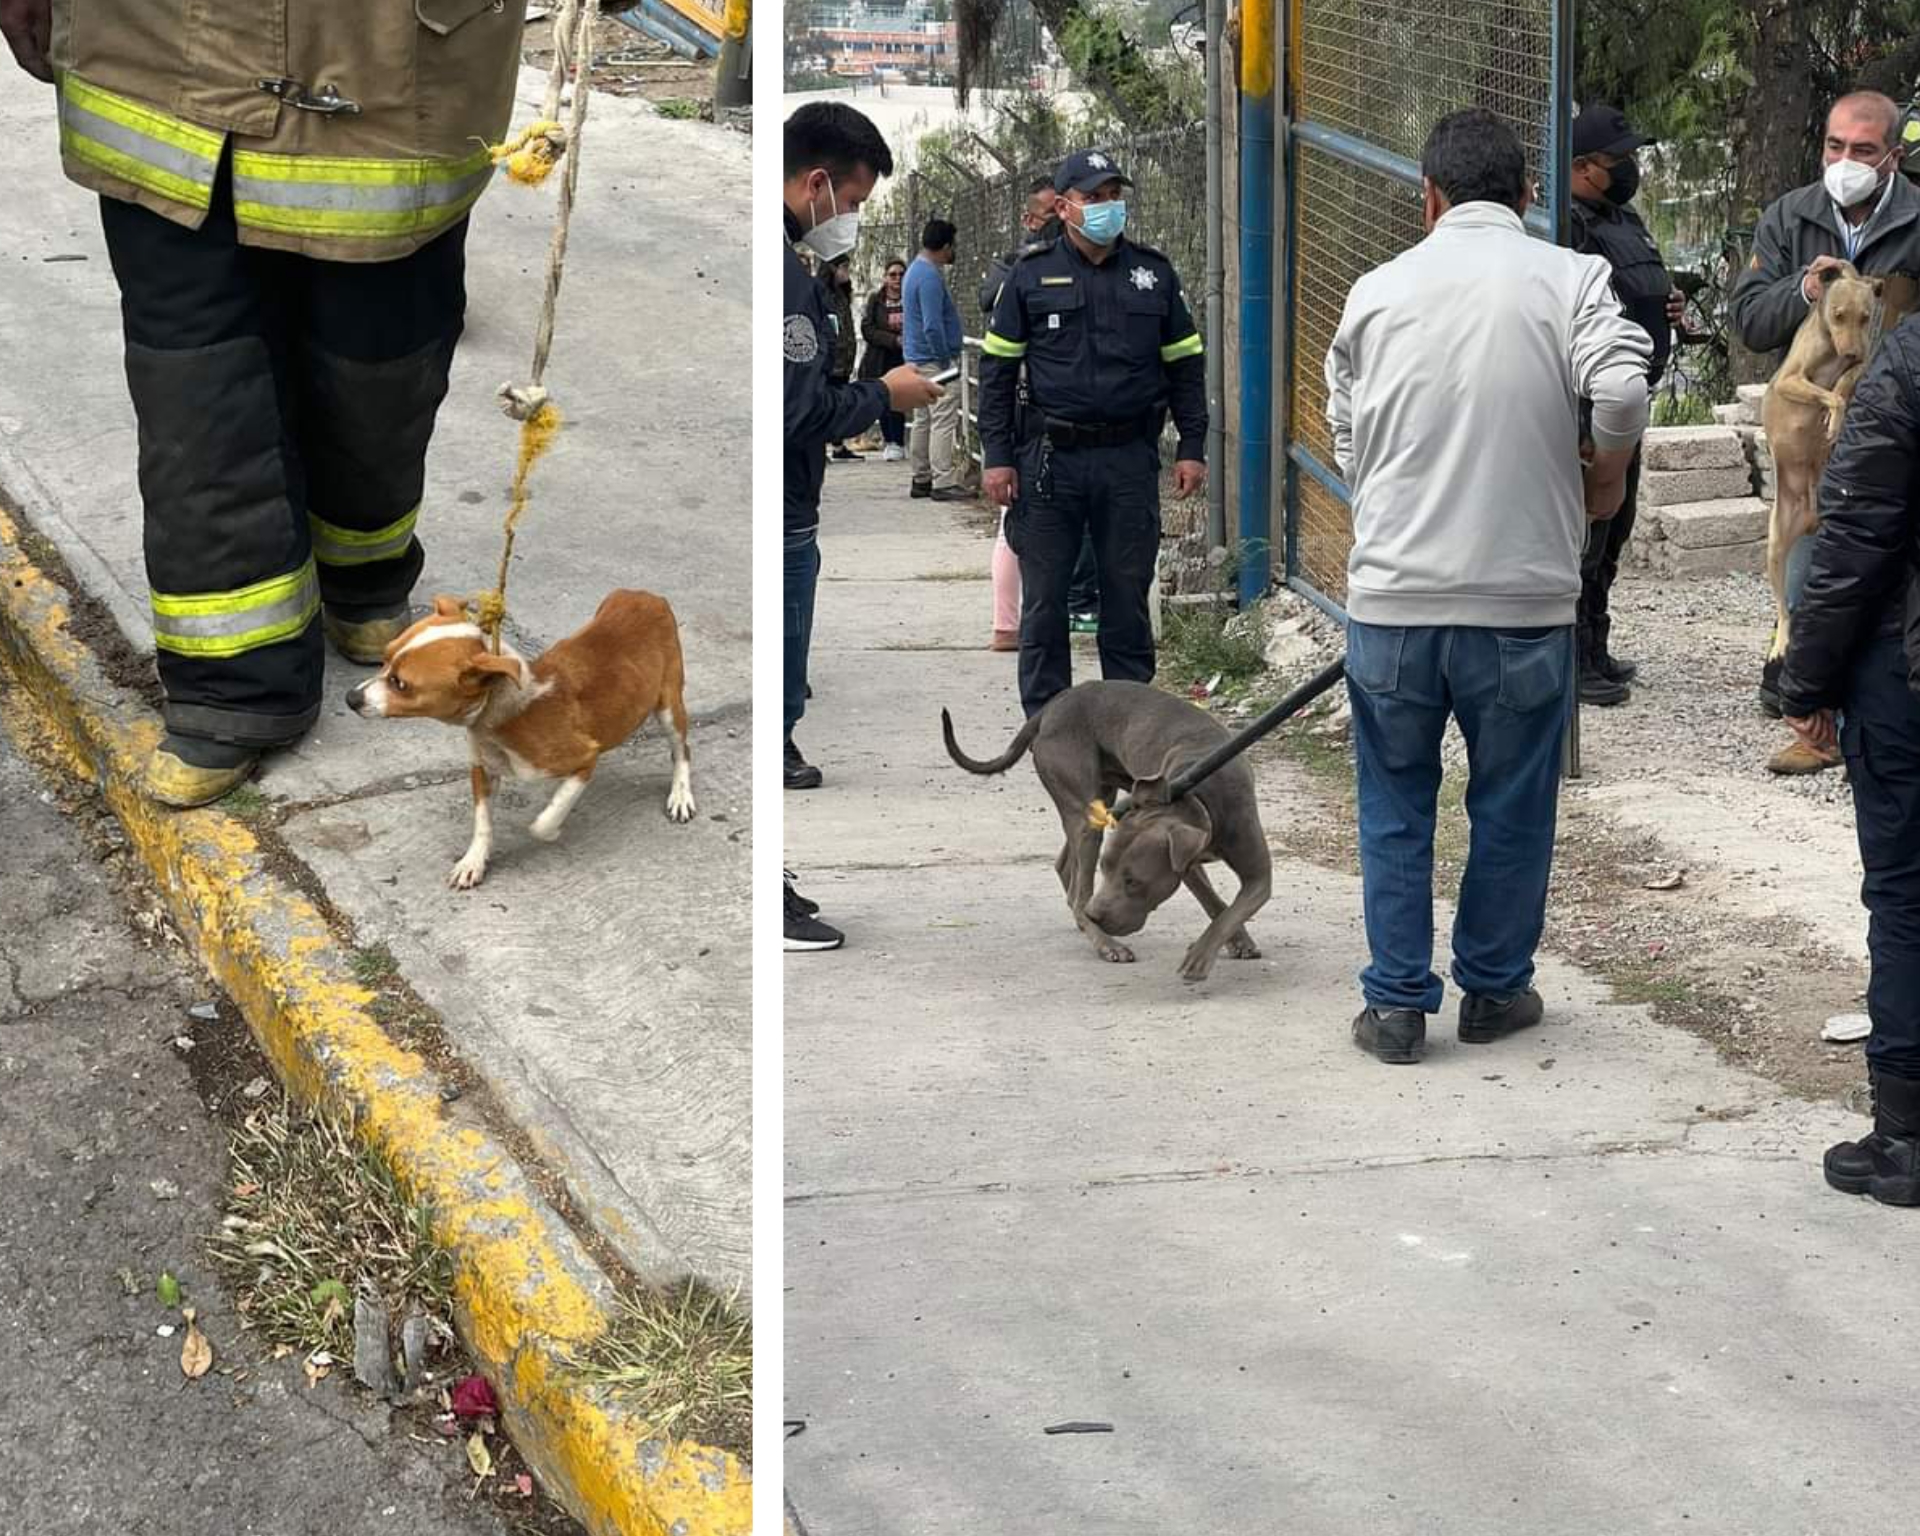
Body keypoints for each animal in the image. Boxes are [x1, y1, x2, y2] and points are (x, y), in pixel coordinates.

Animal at [347, 595, 698, 894]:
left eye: (400, 684)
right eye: (384, 658)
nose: (350, 698)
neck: (500, 714)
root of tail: (646, 596)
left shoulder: (586, 757)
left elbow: (545, 820)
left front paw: (552, 830)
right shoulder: (483, 768)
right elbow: (483, 822)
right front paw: (473, 862)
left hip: (669, 704)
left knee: (681, 750)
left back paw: (681, 794)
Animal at [944, 679, 1274, 979]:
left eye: (1133, 881)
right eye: (1106, 870)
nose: (1096, 916)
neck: (1200, 797)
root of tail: (1053, 706)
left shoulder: (1252, 876)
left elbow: (1225, 909)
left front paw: (1220, 947)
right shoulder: (1188, 865)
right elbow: (1215, 902)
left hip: (1101, 804)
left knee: (1067, 868)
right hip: (1086, 815)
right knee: (1079, 890)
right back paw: (1104, 942)